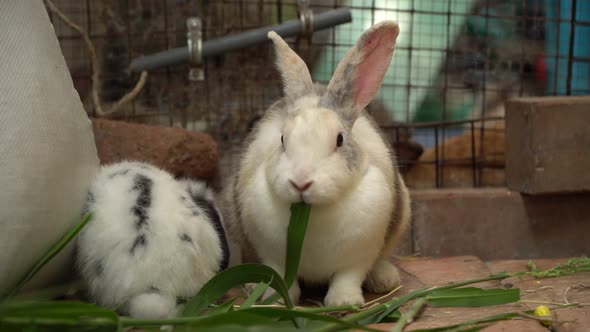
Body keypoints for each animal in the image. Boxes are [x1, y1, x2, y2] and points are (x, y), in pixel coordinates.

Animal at [222, 20, 412, 306]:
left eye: (340, 140)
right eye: (282, 139)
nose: (301, 183)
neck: (313, 214)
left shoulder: (358, 256)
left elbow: (347, 278)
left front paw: (344, 302)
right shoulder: (272, 255)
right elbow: (281, 278)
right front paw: (275, 300)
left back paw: (384, 279)